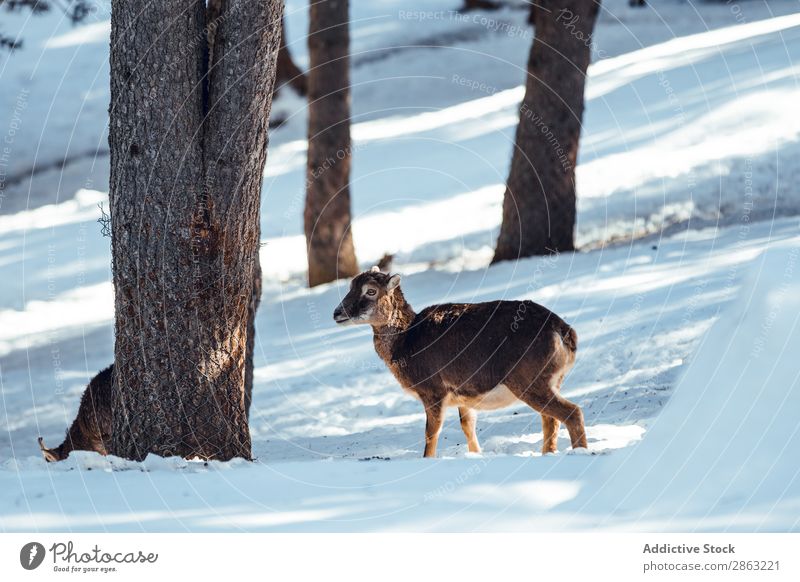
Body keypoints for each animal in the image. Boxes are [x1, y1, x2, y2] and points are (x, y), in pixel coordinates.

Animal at [332, 266, 588, 458]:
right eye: (350, 287)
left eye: (371, 291)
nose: (337, 313)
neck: (406, 342)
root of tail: (564, 332)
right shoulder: (464, 396)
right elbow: (467, 426)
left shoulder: (433, 391)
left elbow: (431, 432)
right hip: (549, 382)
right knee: (550, 419)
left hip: (528, 380)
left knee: (571, 412)